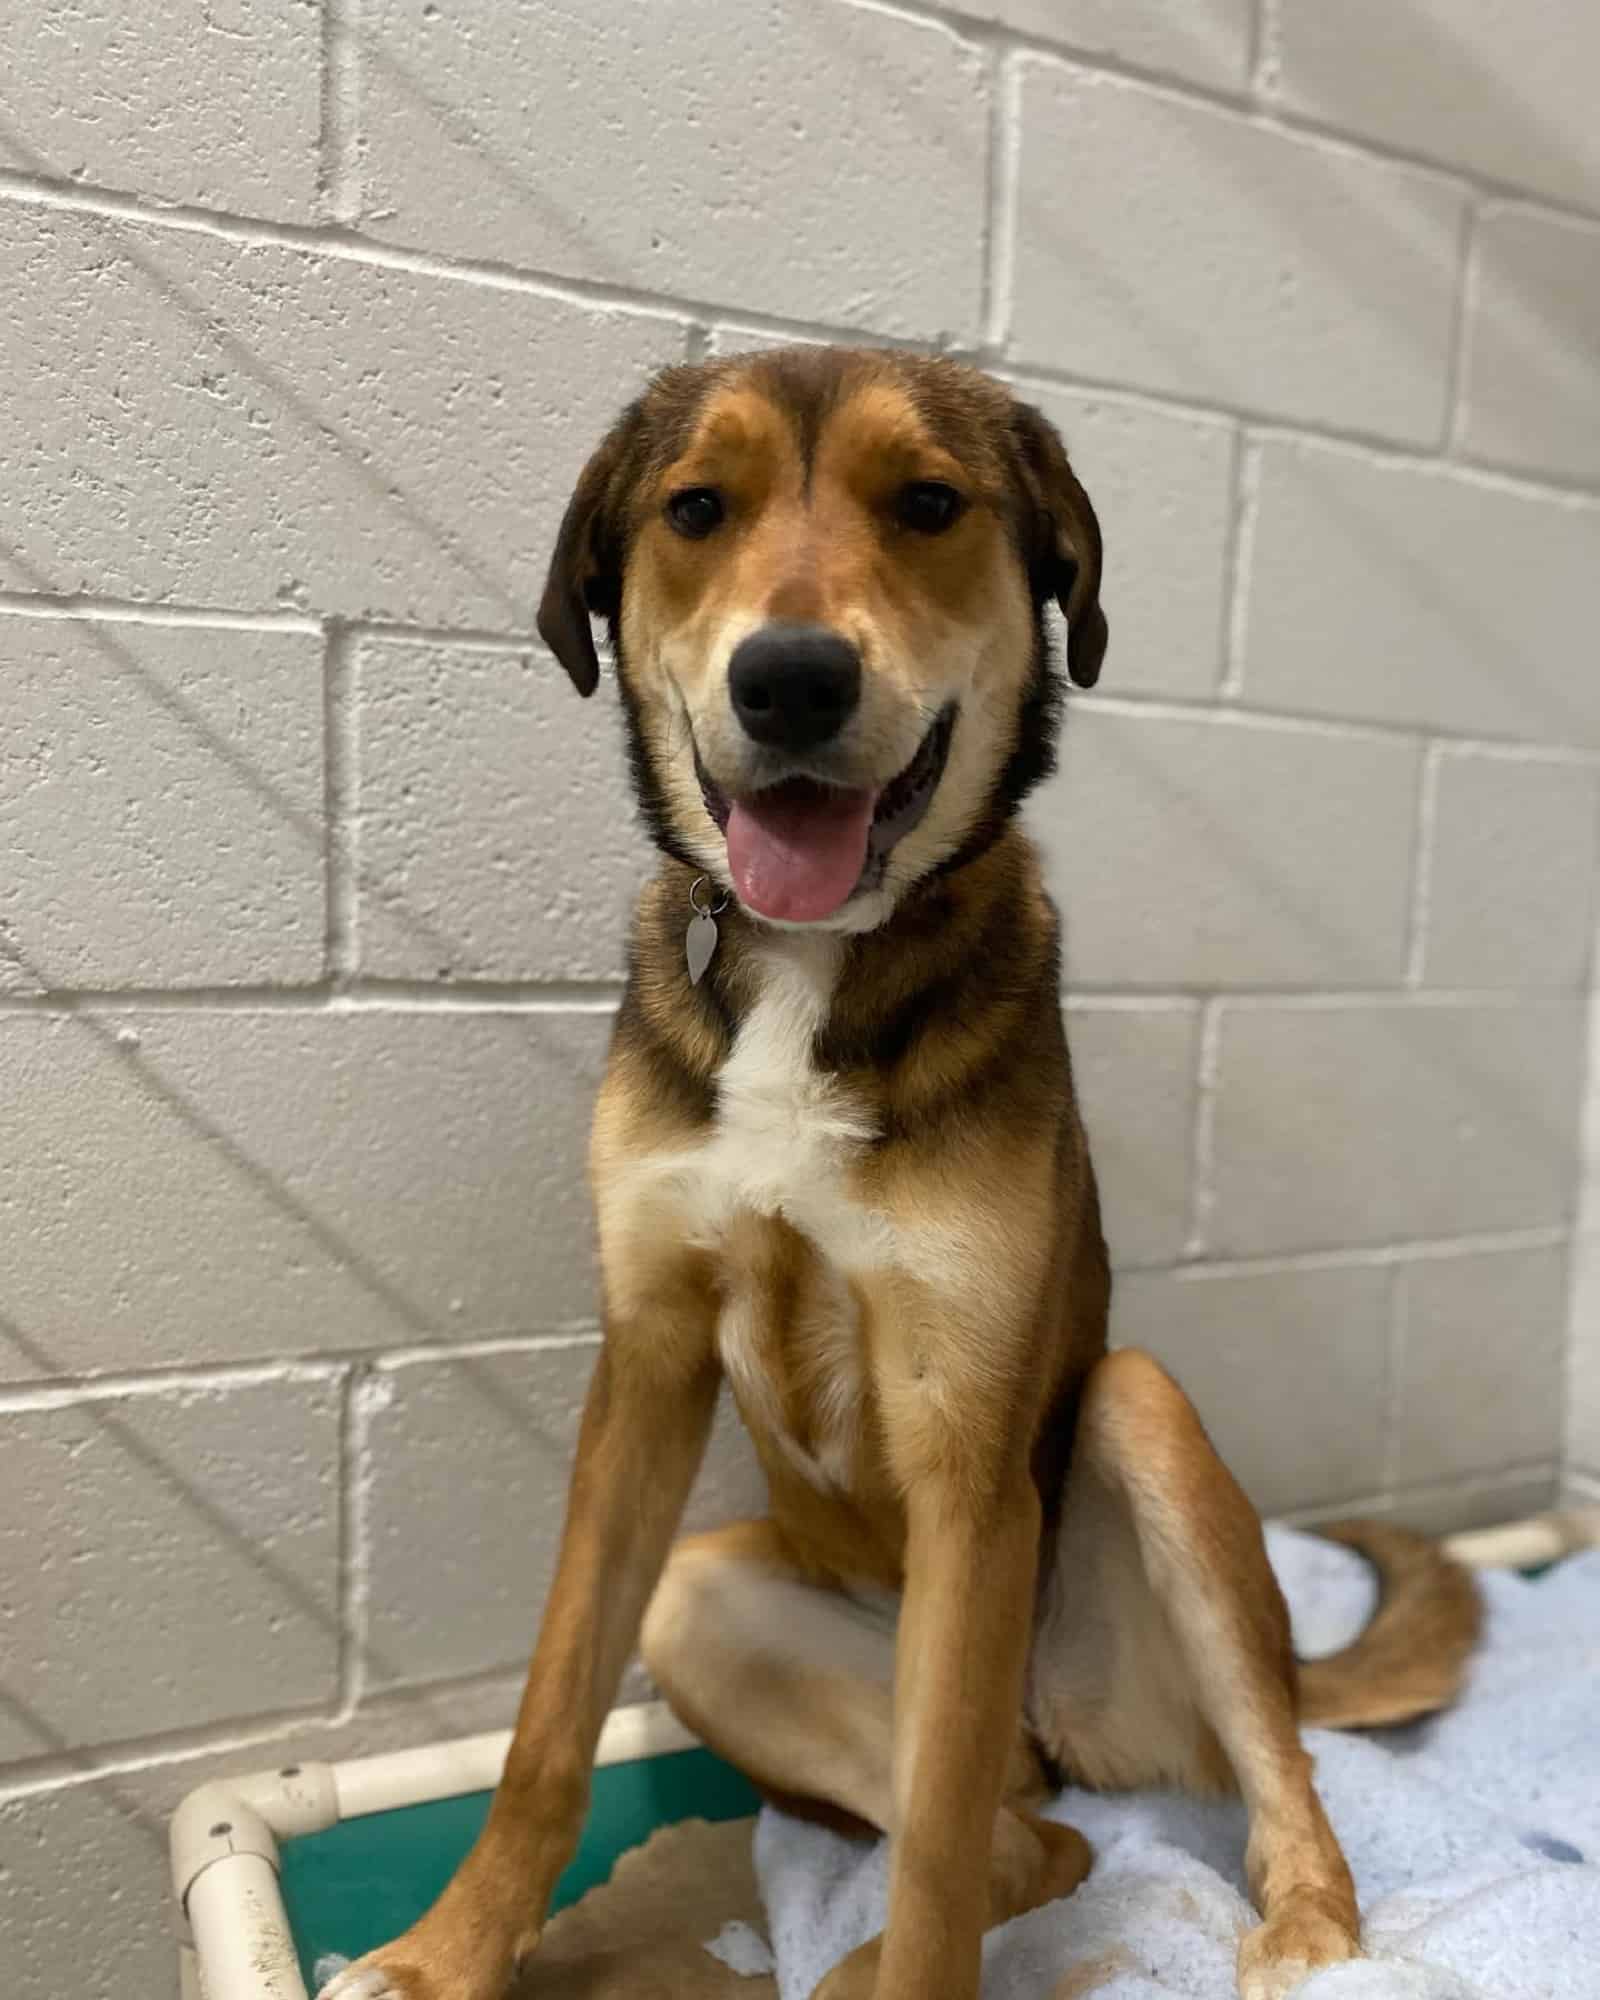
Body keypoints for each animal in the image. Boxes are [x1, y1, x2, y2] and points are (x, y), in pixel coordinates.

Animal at [318, 348, 1480, 2000]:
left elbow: (925, 1858)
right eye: (696, 508)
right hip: (715, 1603)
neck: (814, 961)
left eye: (929, 504)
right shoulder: (646, 1366)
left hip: (1127, 1442)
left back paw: (1311, 1933)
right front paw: (445, 1956)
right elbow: (548, 1723)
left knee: (1229, 1778)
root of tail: (1058, 1730)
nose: (792, 681)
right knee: (1027, 1836)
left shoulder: (963, 1440)